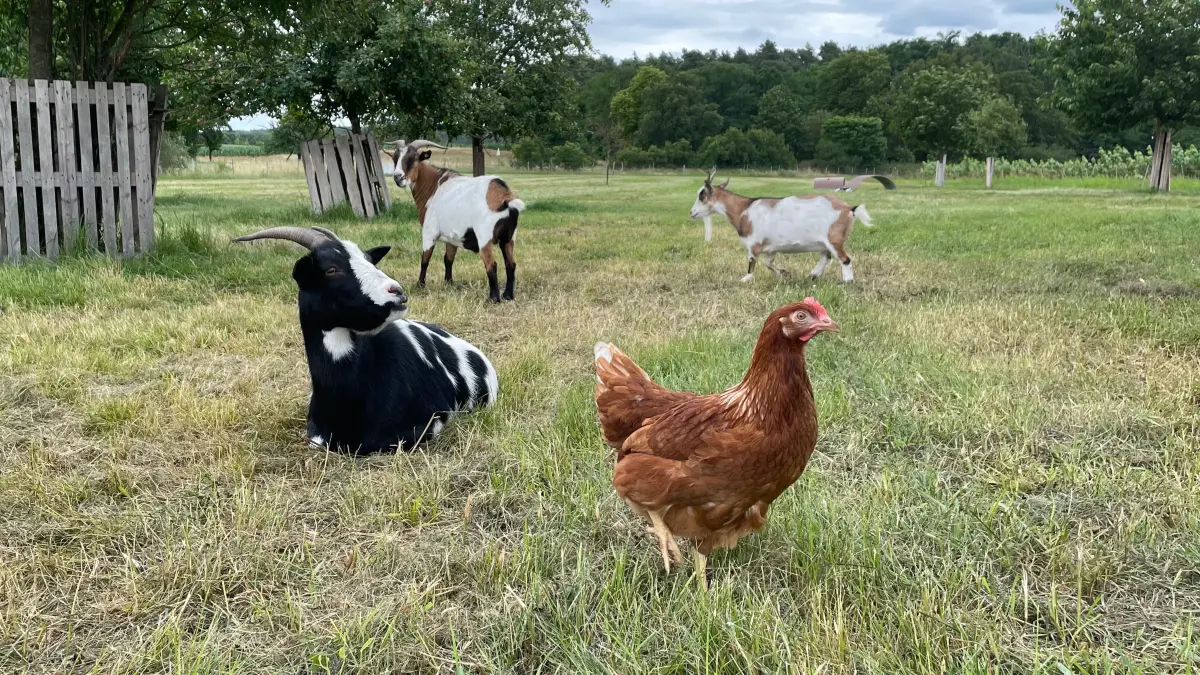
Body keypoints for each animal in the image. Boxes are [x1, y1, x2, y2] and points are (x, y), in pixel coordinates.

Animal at [388, 140, 525, 303]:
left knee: (492, 265)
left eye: (413, 158)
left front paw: (420, 285)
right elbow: (448, 259)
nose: (398, 177)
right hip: (509, 237)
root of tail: (505, 197)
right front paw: (448, 283)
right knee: (511, 263)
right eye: (395, 158)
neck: (434, 187)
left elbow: (425, 259)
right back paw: (508, 295)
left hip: (484, 238)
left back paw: (493, 298)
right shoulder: (452, 237)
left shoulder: (429, 232)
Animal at [689, 169, 873, 283]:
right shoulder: (771, 248)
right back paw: (813, 275)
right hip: (824, 242)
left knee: (845, 259)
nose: (692, 213)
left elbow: (752, 261)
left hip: (833, 238)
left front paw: (746, 278)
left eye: (702, 195)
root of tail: (848, 208)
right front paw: (784, 273)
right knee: (826, 257)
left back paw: (847, 281)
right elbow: (768, 263)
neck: (743, 210)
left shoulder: (754, 243)